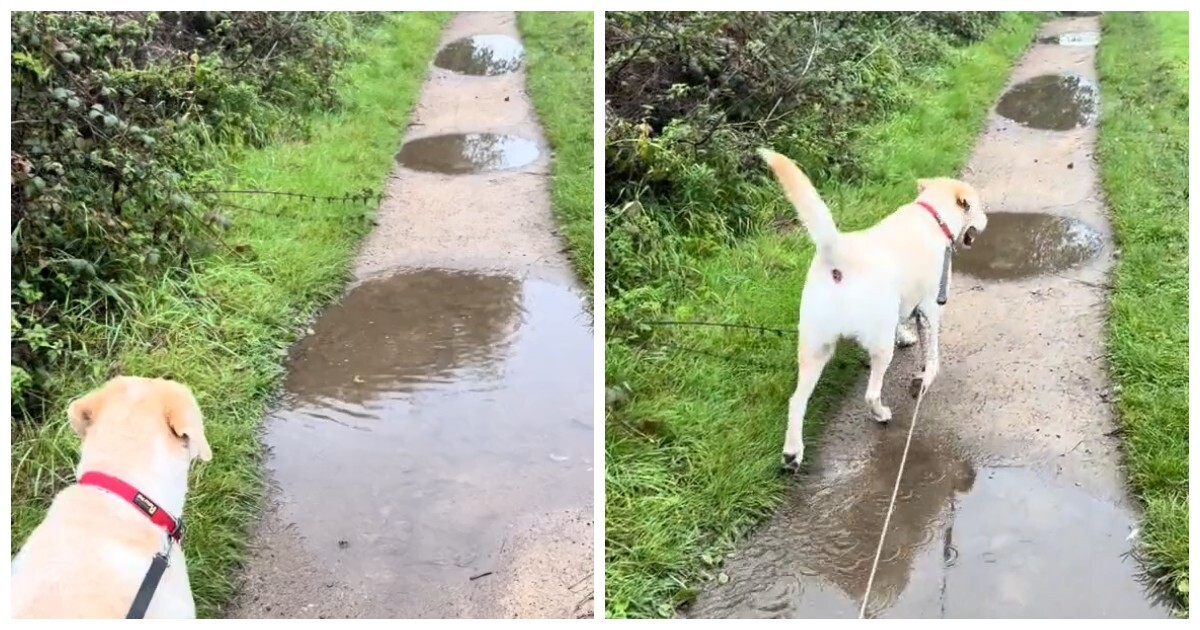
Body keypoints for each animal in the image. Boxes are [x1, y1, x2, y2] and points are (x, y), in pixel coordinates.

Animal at [763, 150, 988, 468]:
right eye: (978, 207)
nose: (986, 219)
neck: (933, 215)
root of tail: (838, 257)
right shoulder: (931, 308)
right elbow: (931, 356)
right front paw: (923, 379)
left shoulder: (904, 301)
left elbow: (904, 323)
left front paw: (906, 338)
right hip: (879, 344)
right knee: (871, 393)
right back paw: (881, 414)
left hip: (814, 346)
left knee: (796, 400)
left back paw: (793, 453)